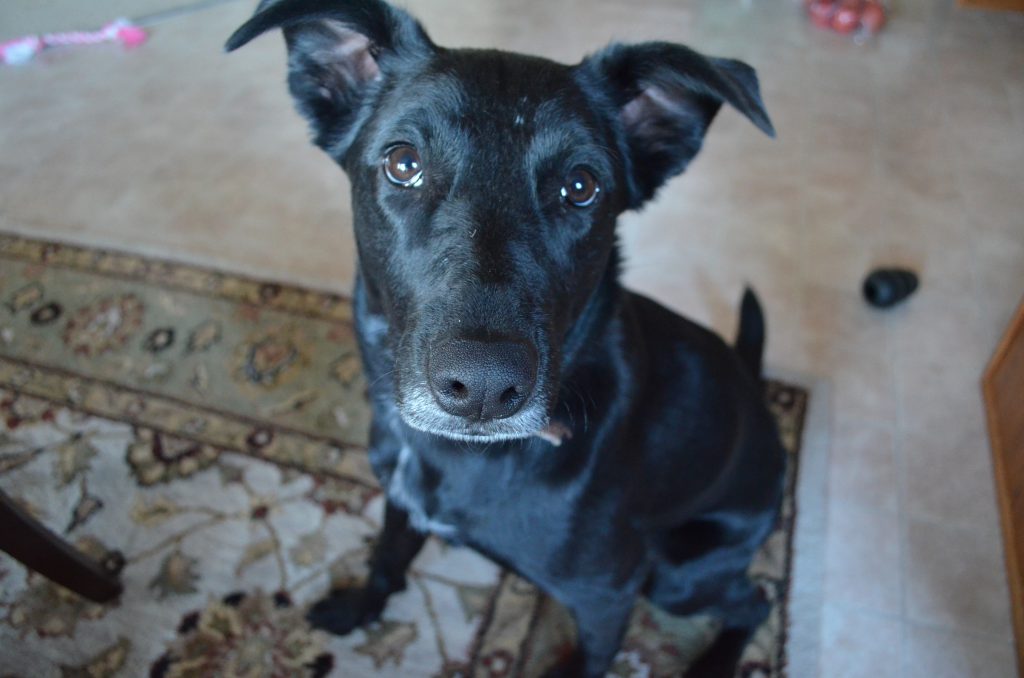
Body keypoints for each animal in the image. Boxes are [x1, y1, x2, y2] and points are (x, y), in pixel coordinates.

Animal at [226, 2, 782, 675]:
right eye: (403, 163)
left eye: (580, 187)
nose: (484, 387)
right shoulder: (400, 501)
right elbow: (386, 557)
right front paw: (360, 607)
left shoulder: (608, 595)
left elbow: (590, 662)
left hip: (676, 576)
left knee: (755, 603)